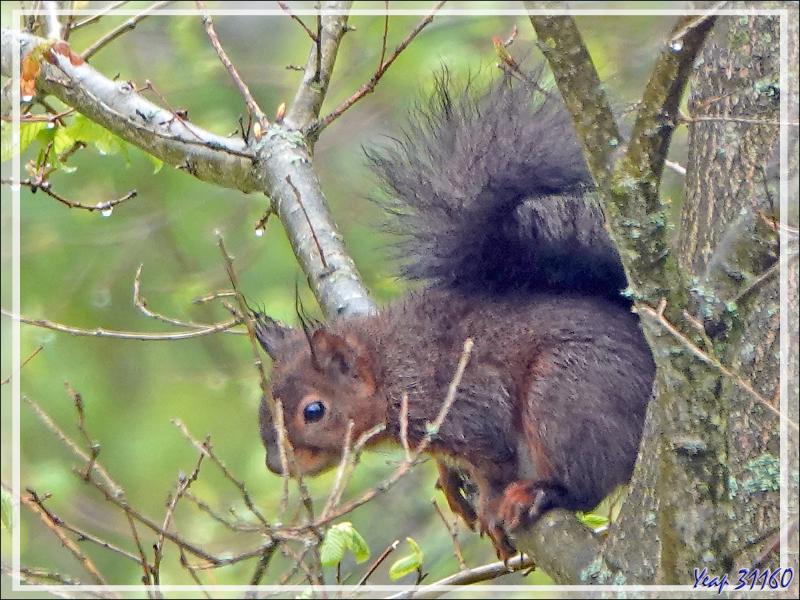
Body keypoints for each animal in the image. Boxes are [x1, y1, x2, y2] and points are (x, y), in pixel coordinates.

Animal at [254, 68, 656, 560]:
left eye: (313, 411)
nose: (276, 465)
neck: (392, 366)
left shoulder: (465, 401)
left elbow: (494, 460)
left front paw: (489, 500)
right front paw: (449, 477)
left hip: (569, 396)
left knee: (584, 479)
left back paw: (540, 493)